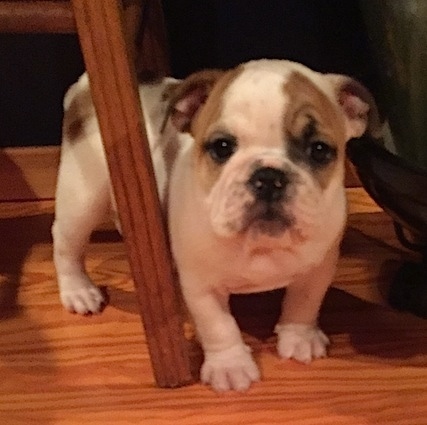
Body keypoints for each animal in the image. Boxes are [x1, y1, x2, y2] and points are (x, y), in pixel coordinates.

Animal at [51, 58, 380, 390]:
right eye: (222, 147)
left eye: (319, 150)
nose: (269, 177)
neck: (258, 243)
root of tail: (82, 88)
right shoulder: (202, 287)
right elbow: (218, 325)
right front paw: (230, 367)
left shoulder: (318, 269)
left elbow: (304, 303)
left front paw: (299, 337)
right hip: (83, 198)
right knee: (66, 242)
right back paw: (78, 290)